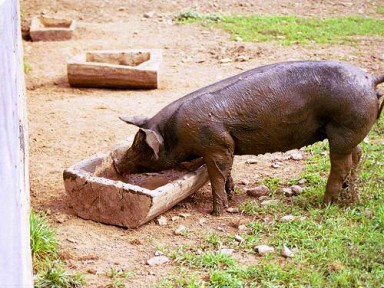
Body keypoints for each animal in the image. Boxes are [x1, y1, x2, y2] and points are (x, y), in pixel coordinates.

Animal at [114, 59, 384, 215]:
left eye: (140, 146)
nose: (116, 164)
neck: (175, 133)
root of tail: (369, 78)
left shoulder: (215, 144)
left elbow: (217, 174)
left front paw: (216, 212)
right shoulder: (226, 145)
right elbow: (227, 171)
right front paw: (232, 195)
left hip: (343, 128)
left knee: (341, 165)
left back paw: (324, 205)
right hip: (350, 133)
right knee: (357, 156)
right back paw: (350, 201)